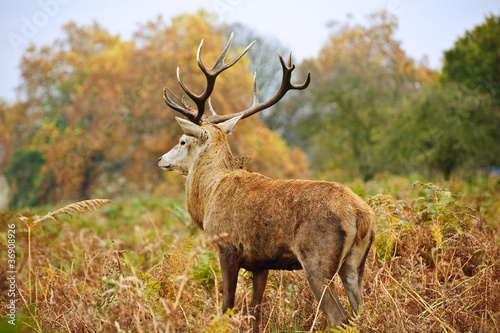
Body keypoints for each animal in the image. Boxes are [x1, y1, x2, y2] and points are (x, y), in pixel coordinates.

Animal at [157, 33, 376, 330]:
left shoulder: (228, 247)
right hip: (355, 263)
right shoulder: (260, 262)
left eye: (182, 141)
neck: (211, 194)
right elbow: (255, 313)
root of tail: (360, 213)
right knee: (361, 311)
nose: (161, 159)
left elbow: (227, 307)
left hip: (317, 258)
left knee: (338, 317)